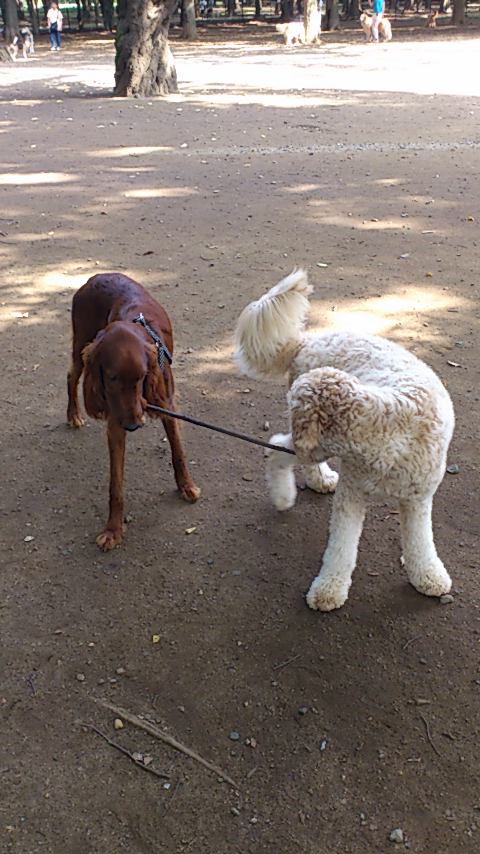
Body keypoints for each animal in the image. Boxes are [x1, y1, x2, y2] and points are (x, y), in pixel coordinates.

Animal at [67, 276, 199, 556]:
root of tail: (93, 278)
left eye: (141, 377)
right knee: (72, 375)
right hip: (81, 342)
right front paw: (113, 530)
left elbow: (178, 451)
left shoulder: (167, 405)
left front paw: (186, 486)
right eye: (112, 378)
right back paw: (73, 415)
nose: (133, 425)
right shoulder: (116, 423)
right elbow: (115, 484)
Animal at [234, 270, 456, 612]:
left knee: (283, 448)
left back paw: (314, 481)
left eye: (296, 410)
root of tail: (306, 342)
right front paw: (329, 590)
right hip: (317, 448)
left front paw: (429, 578)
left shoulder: (417, 499)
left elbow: (420, 544)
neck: (392, 428)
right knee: (279, 449)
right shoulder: (352, 494)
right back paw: (286, 493)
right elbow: (341, 547)